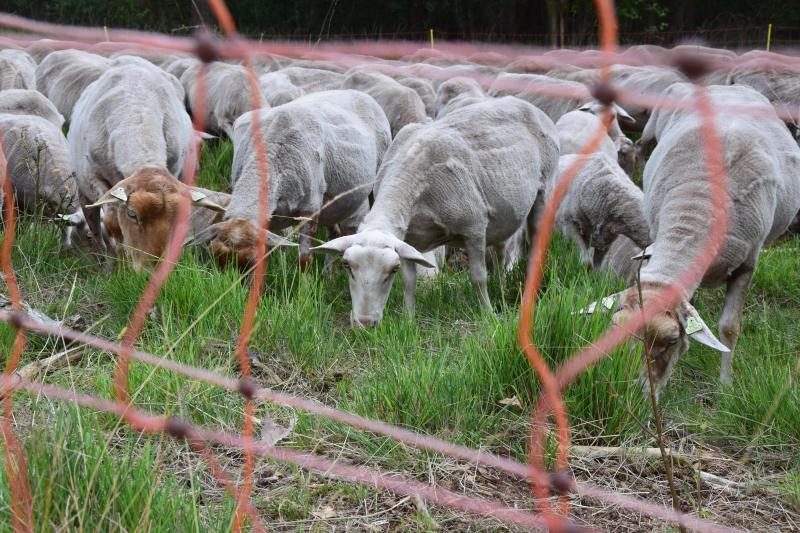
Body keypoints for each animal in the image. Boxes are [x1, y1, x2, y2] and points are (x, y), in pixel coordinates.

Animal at [310, 97, 560, 326]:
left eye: (391, 270)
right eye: (347, 266)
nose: (364, 323)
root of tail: (528, 105)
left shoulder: (474, 227)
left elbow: (478, 277)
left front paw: (489, 315)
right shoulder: (408, 241)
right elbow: (409, 281)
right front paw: (408, 321)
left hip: (545, 189)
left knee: (536, 244)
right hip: (504, 215)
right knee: (501, 252)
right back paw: (502, 285)